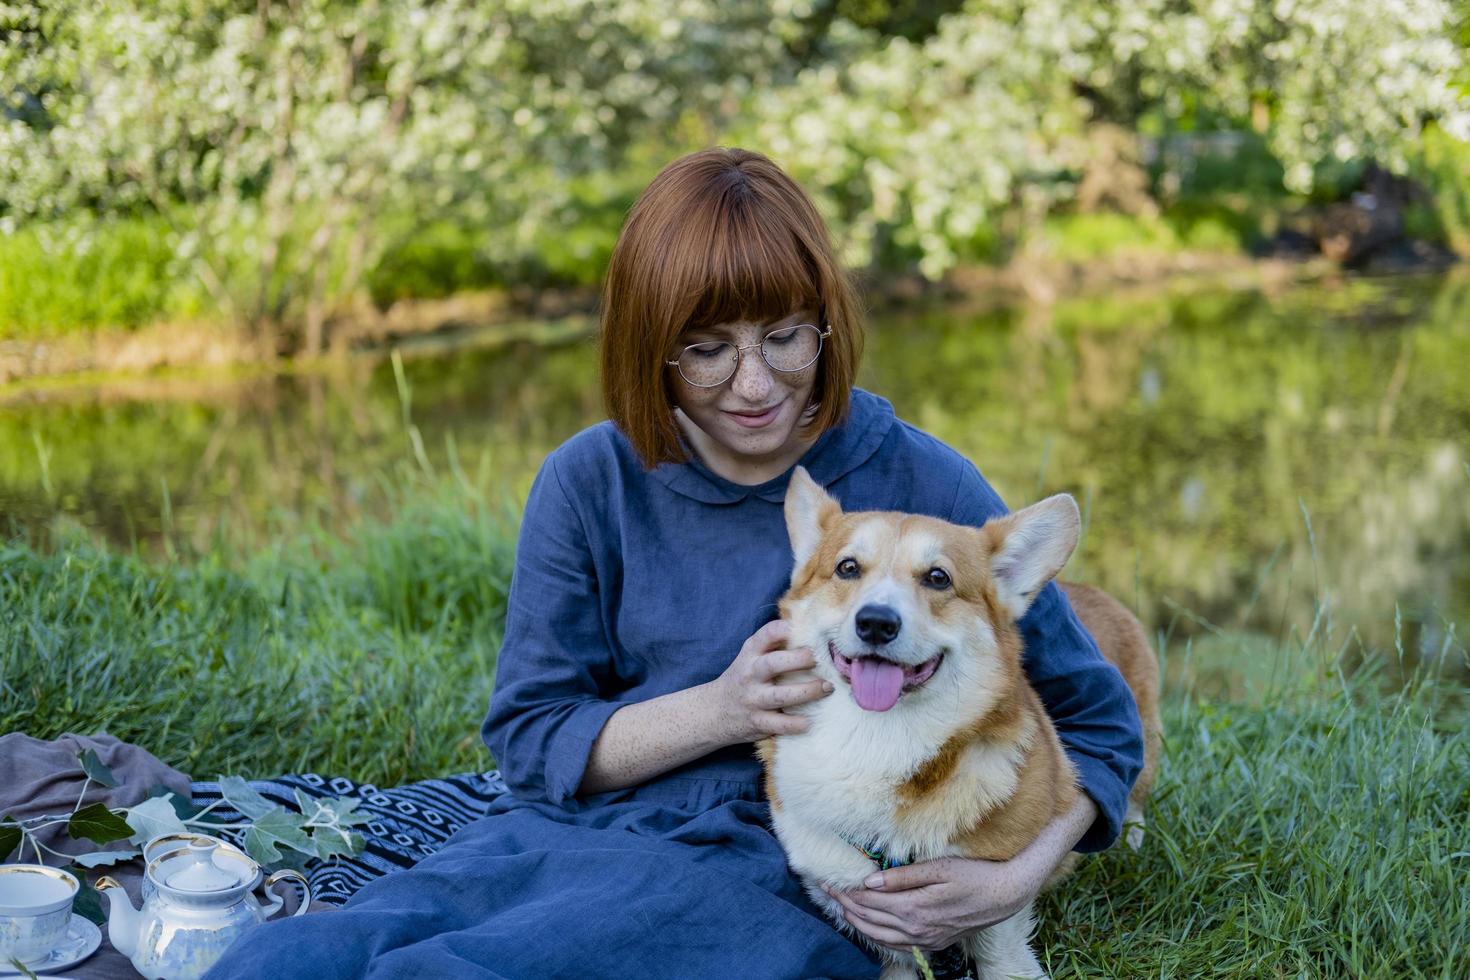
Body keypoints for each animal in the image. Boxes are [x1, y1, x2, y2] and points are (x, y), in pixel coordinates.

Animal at [758, 470, 1158, 980]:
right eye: (847, 568)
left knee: (1135, 805)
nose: (876, 623)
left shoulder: (997, 889)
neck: (877, 738)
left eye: (937, 577)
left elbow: (998, 951)